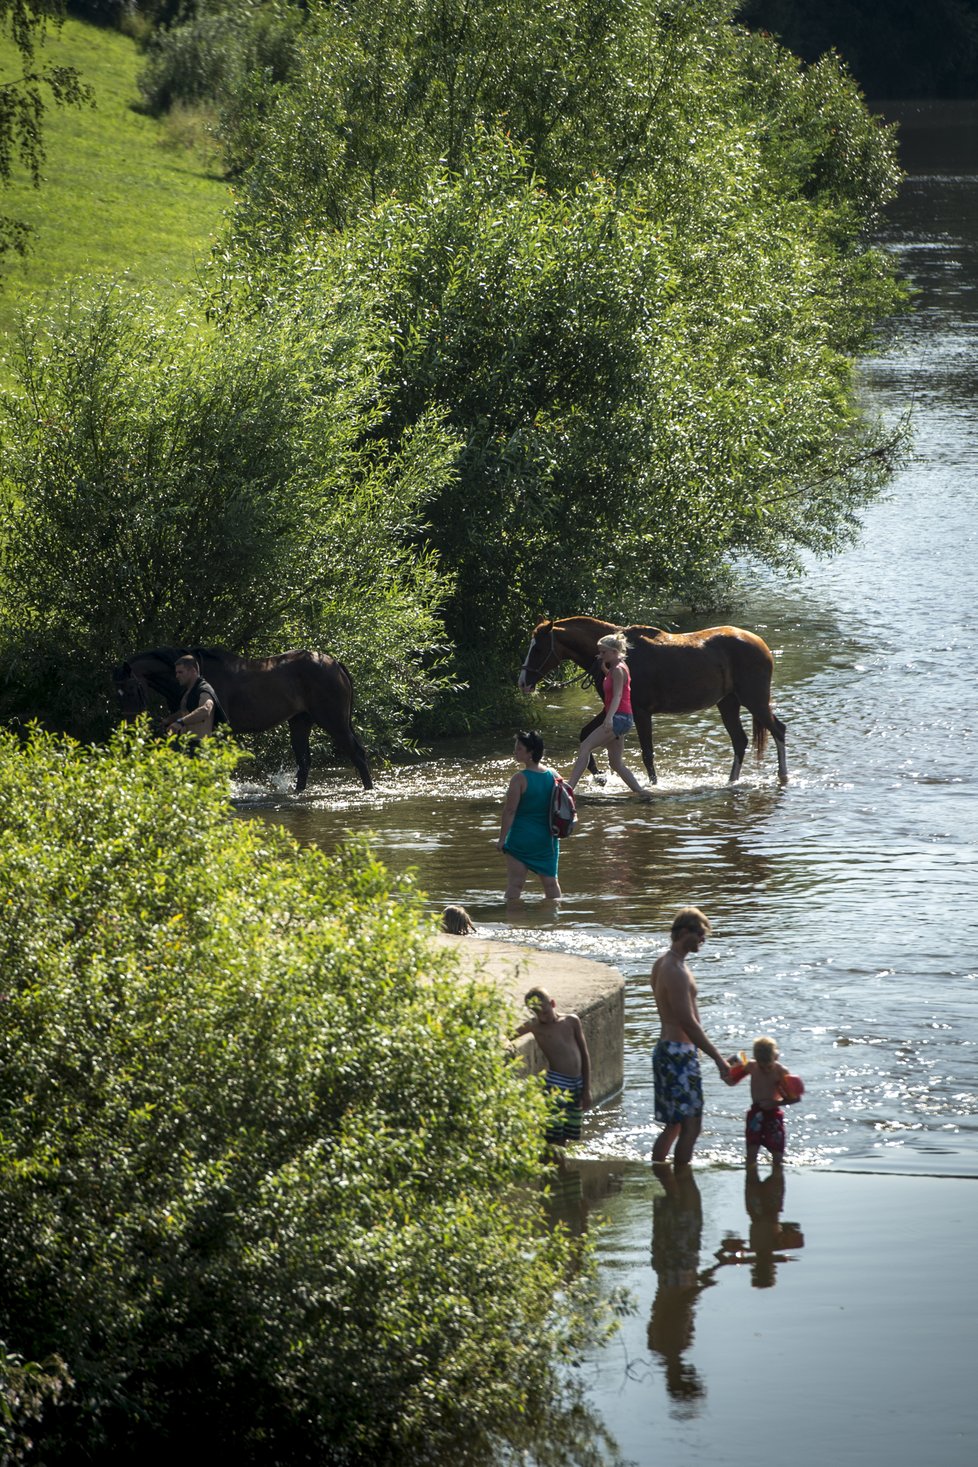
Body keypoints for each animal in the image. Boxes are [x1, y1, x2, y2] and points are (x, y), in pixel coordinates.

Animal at [112, 648, 372, 798]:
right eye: (117, 693)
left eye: (132, 689)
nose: (131, 727)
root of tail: (335, 663)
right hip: (300, 722)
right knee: (304, 762)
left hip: (333, 721)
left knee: (357, 755)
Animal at [519, 613, 785, 786]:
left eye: (538, 649)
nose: (523, 682)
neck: (624, 655)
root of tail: (760, 644)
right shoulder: (612, 709)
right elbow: (585, 733)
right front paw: (598, 774)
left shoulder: (640, 711)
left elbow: (647, 753)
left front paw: (653, 784)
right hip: (728, 702)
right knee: (740, 740)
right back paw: (731, 781)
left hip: (754, 700)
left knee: (778, 730)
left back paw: (782, 775)